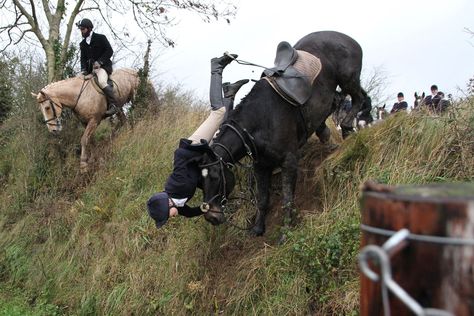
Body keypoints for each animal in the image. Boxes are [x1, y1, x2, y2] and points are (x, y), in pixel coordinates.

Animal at [200, 30, 366, 236]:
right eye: (200, 182)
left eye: (216, 177)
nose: (211, 217)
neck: (261, 120)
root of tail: (347, 39)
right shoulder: (261, 167)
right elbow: (262, 199)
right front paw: (258, 228)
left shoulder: (289, 162)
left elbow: (287, 200)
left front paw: (285, 232)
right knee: (337, 102)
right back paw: (327, 134)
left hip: (348, 79)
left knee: (358, 98)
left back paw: (346, 128)